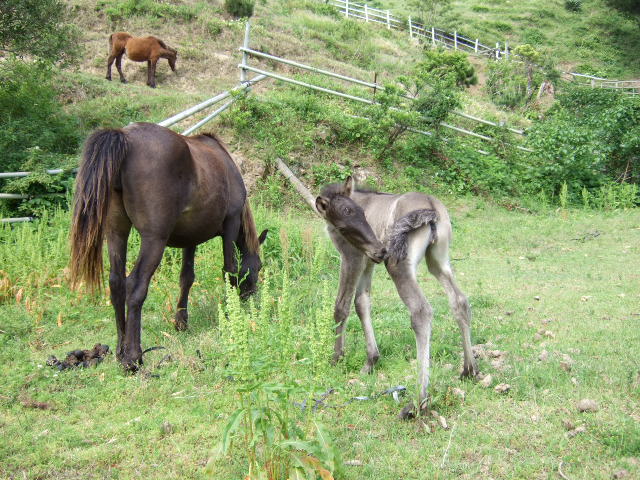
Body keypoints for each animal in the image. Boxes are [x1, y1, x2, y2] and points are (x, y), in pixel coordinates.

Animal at [70, 123, 268, 372]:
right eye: (258, 267)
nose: (250, 297)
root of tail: (125, 137)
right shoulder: (231, 224)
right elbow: (229, 269)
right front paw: (231, 313)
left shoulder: (190, 239)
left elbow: (187, 278)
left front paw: (181, 322)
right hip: (154, 239)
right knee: (135, 285)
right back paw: (132, 357)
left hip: (116, 233)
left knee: (116, 284)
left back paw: (120, 351)